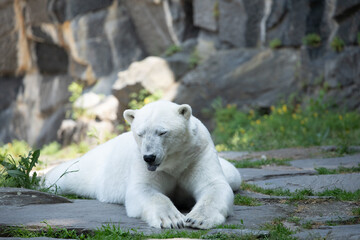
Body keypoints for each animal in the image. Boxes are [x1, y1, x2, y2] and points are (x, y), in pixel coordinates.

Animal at [45, 101, 242, 229]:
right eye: (140, 133)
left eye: (162, 132)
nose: (149, 157)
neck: (173, 160)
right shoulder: (139, 160)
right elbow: (144, 189)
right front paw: (172, 219)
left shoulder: (197, 153)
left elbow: (213, 185)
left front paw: (197, 219)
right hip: (89, 169)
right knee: (64, 176)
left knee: (233, 175)